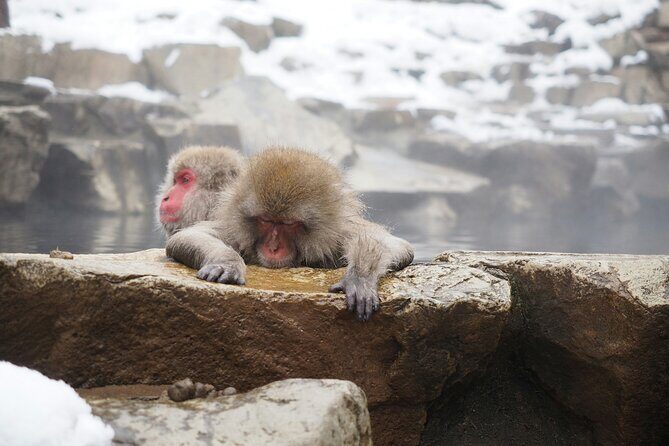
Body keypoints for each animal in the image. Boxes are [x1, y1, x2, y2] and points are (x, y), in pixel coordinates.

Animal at [166, 147, 414, 321]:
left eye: (289, 224)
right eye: (266, 221)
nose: (273, 247)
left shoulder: (338, 235)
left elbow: (395, 244)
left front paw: (359, 278)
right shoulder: (236, 230)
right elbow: (188, 236)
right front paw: (226, 263)